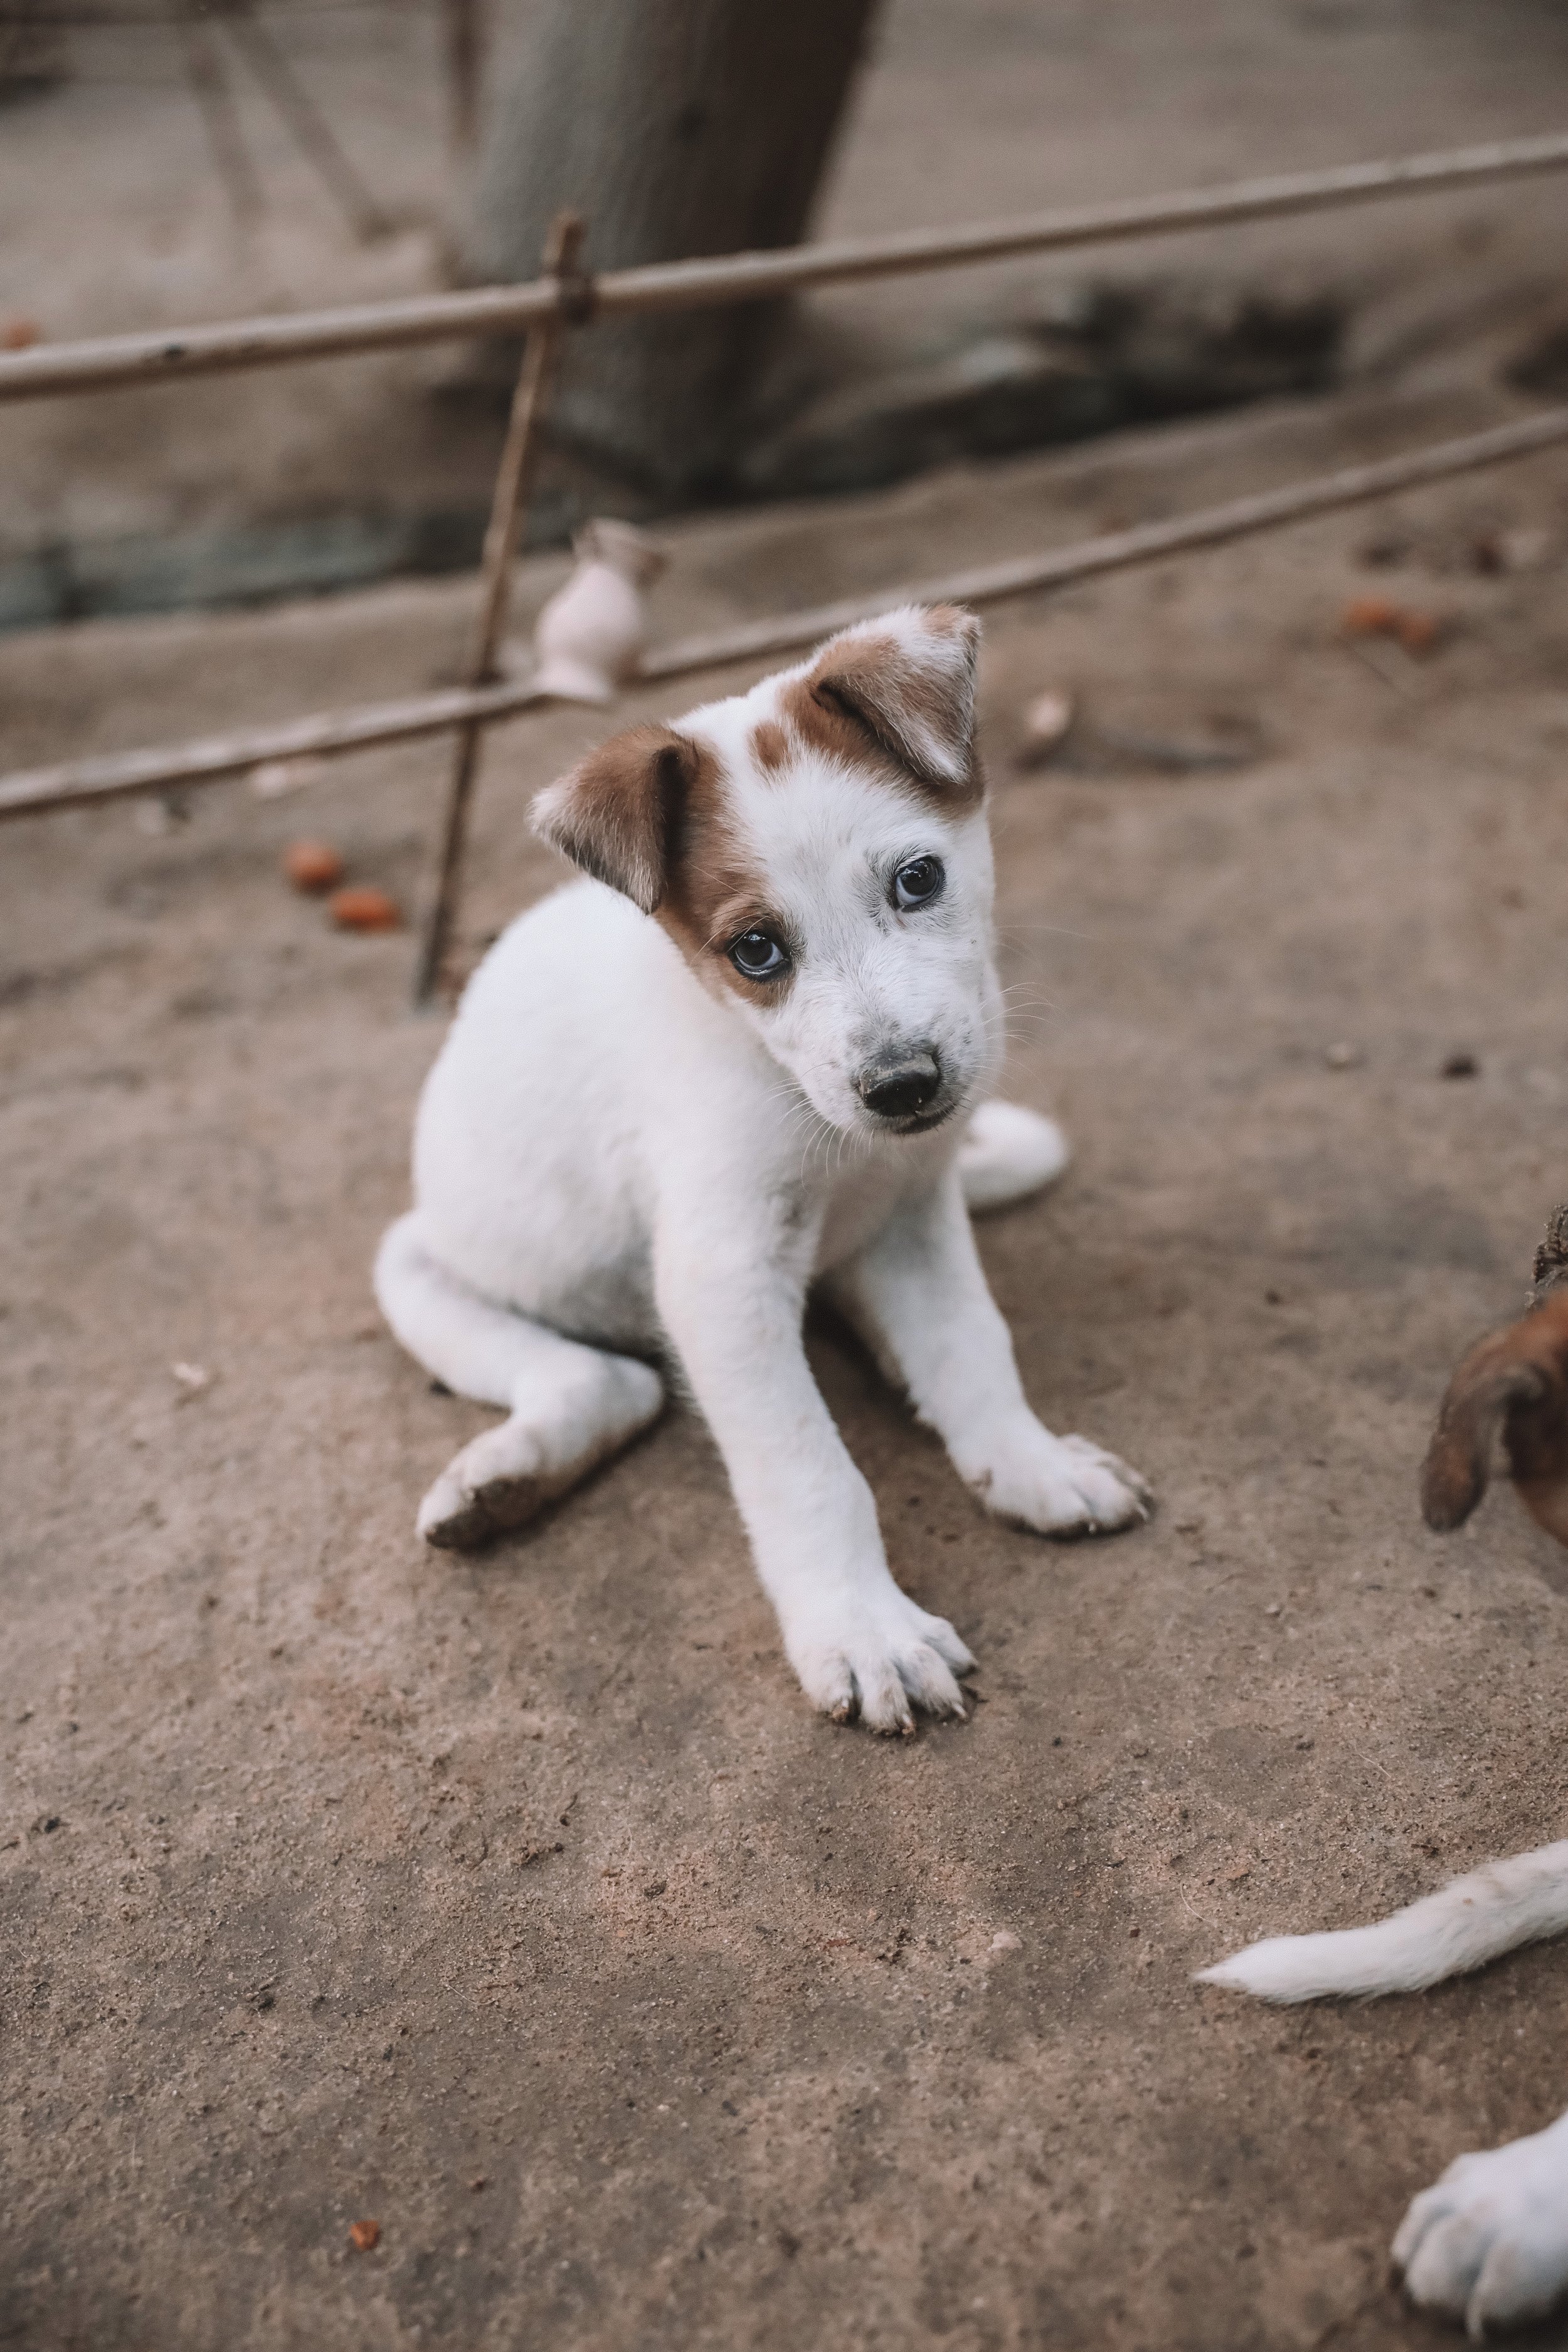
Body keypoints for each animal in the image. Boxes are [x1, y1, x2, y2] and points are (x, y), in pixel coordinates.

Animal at [373, 607, 1147, 1731]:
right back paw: (505, 1478)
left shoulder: (915, 1218)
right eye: (755, 952)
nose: (904, 1087)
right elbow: (810, 1467)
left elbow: (972, 1348)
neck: (818, 1121)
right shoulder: (722, 1280)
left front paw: (1029, 1462)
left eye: (919, 879)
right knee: (603, 1382)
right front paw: (865, 1629)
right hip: (424, 1265)